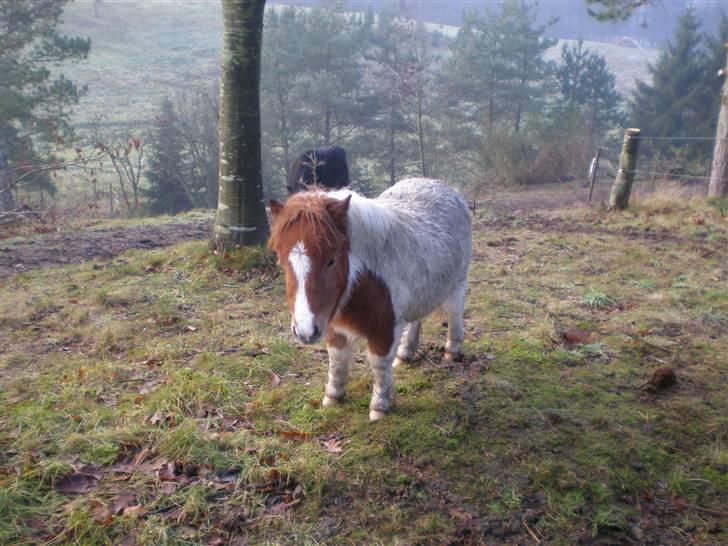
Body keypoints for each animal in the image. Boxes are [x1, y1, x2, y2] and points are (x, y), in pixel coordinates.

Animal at [268, 176, 472, 418]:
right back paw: (405, 353)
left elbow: (379, 365)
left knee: (455, 314)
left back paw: (451, 351)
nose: (305, 331)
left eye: (331, 260)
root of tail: (444, 186)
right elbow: (337, 360)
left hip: (458, 285)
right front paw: (333, 396)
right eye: (281, 260)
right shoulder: (334, 325)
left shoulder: (385, 330)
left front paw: (379, 406)